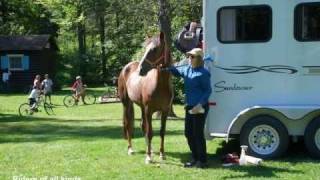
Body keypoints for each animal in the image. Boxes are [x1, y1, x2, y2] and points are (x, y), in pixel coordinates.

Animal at [117, 31, 172, 164]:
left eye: (155, 49)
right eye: (146, 47)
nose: (141, 69)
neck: (160, 85)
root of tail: (127, 67)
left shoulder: (165, 111)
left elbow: (161, 132)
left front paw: (162, 154)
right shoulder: (149, 110)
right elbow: (150, 132)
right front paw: (148, 157)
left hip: (141, 107)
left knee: (142, 126)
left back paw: (150, 149)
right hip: (126, 103)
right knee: (128, 124)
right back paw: (130, 149)